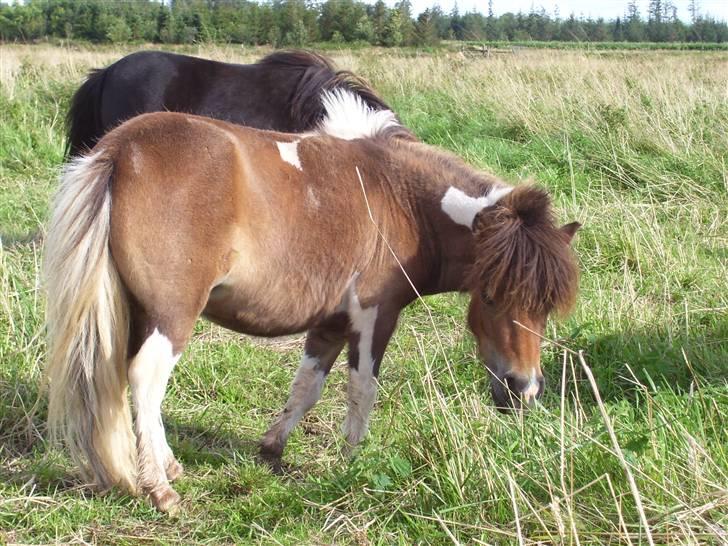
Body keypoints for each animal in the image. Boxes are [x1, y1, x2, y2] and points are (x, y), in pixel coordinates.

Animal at [45, 89, 580, 510]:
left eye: (545, 307)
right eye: (489, 295)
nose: (523, 389)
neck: (400, 199)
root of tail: (122, 149)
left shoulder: (330, 321)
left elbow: (307, 387)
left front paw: (272, 449)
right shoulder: (373, 317)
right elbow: (362, 390)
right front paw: (351, 462)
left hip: (136, 311)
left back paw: (164, 467)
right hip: (171, 315)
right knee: (145, 379)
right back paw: (160, 488)